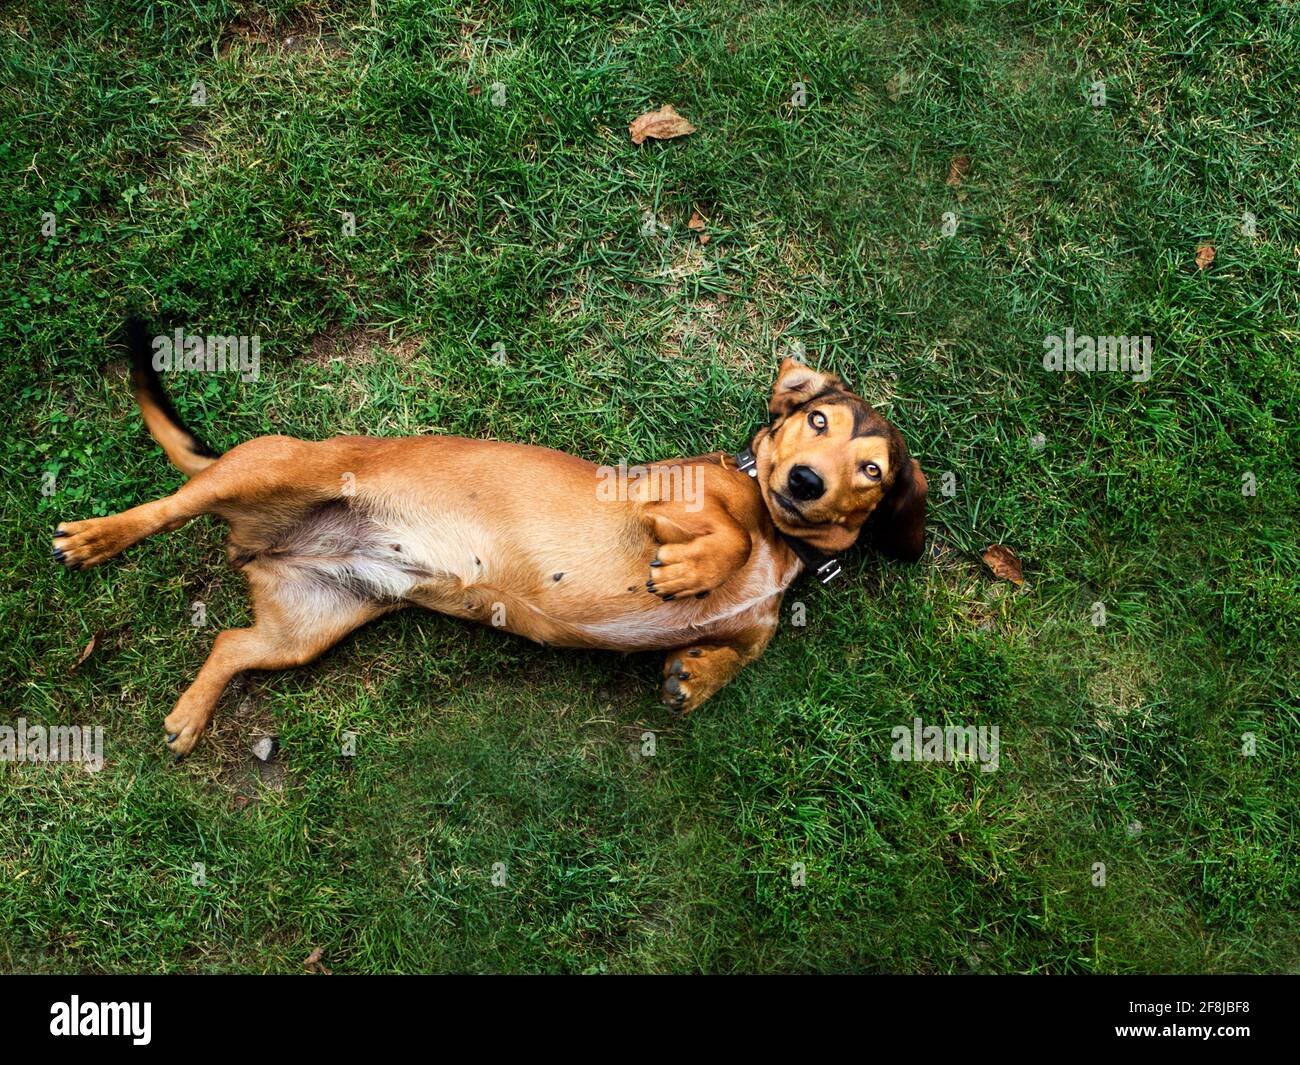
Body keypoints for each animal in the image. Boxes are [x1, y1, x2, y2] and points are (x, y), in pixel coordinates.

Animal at [50, 318, 925, 759]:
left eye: (871, 467)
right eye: (817, 421)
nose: (804, 482)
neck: (784, 541)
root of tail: (265, 537)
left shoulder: (755, 617)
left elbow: (744, 648)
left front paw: (698, 675)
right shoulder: (657, 499)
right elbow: (727, 537)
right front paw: (693, 569)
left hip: (307, 624)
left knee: (231, 640)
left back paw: (189, 715)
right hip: (272, 471)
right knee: (167, 504)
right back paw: (95, 537)